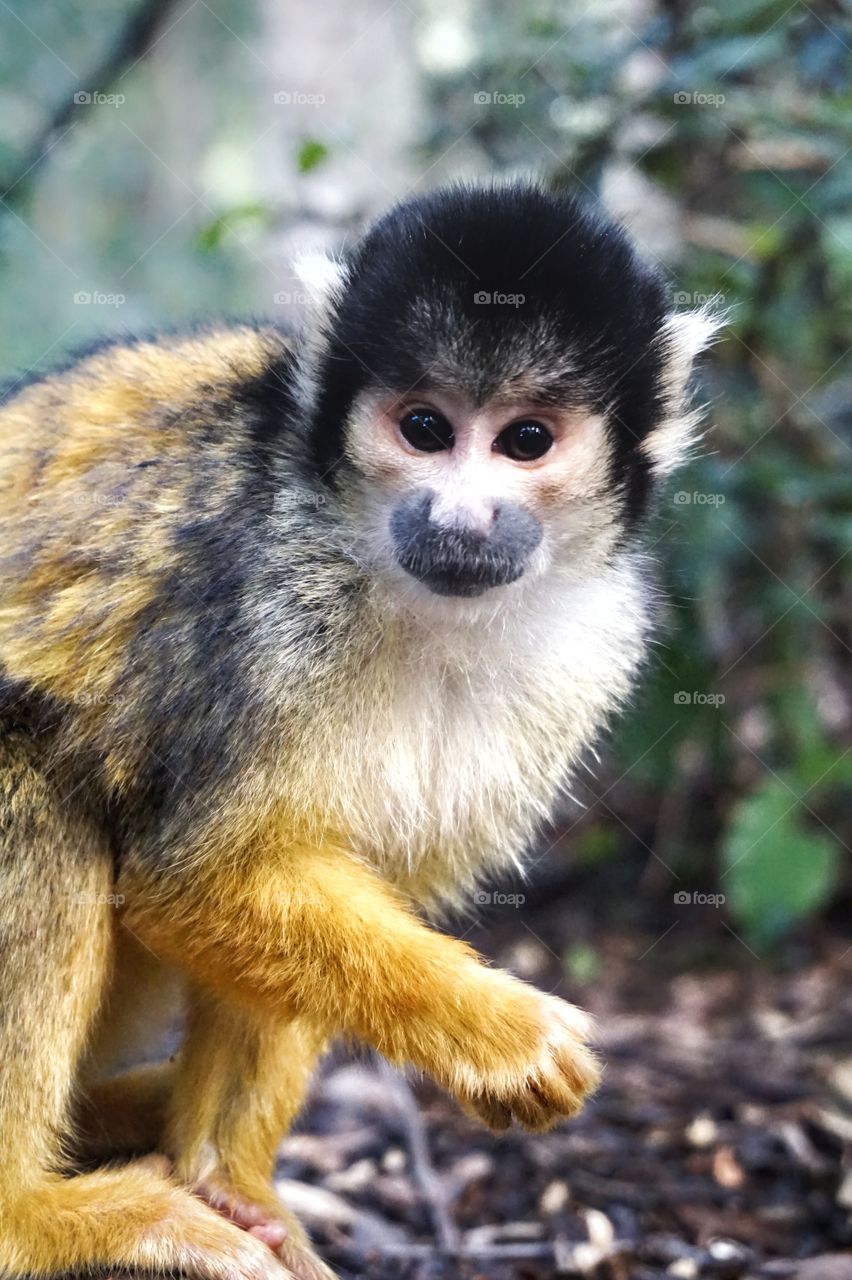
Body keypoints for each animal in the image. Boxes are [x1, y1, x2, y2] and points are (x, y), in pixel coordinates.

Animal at [0, 181, 719, 1280]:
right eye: (424, 427)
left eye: (526, 441)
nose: (461, 520)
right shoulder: (261, 600)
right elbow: (197, 879)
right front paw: (497, 1035)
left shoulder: (589, 648)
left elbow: (297, 872)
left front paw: (231, 1180)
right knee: (34, 763)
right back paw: (35, 1216)